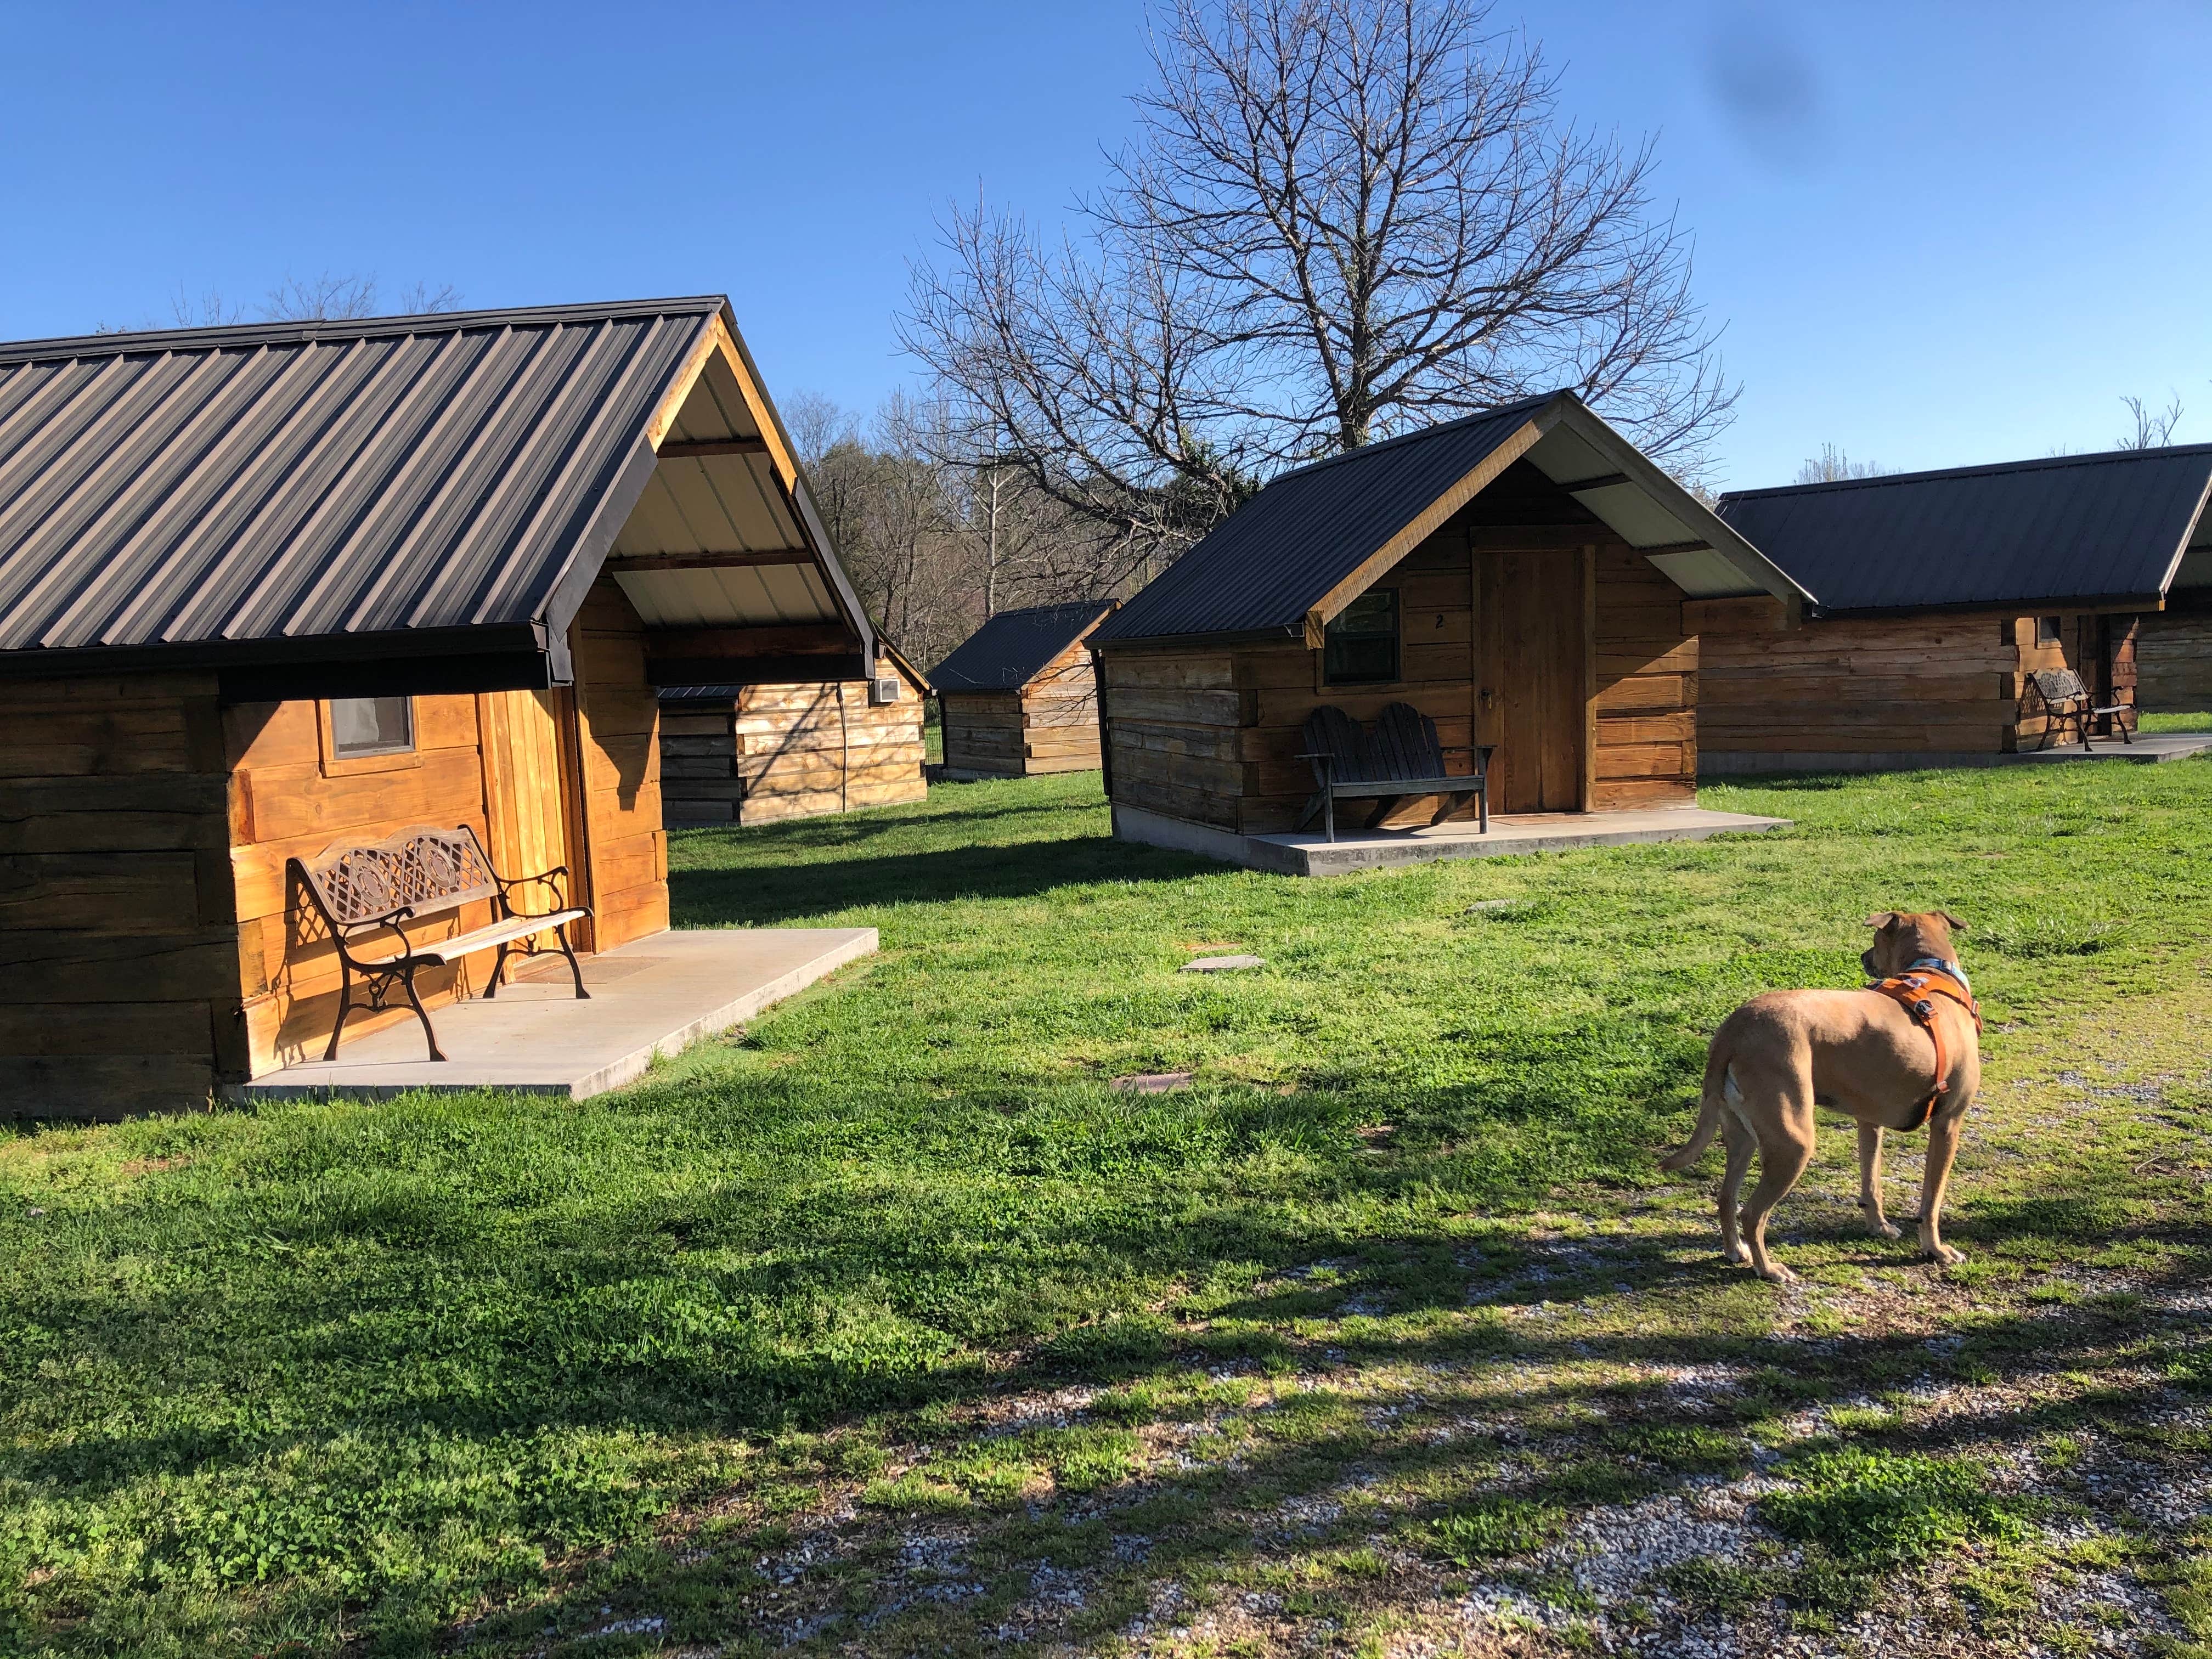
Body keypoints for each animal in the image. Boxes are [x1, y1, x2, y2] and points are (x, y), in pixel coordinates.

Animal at [1663, 911, 1982, 1283]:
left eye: (1874, 943)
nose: (1863, 956)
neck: (1931, 970)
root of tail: (1736, 1027)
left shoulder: (1869, 1122)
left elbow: (1871, 1182)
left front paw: (1879, 1227)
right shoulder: (1947, 1124)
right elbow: (1931, 1200)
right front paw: (1936, 1249)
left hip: (1743, 1135)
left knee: (1727, 1196)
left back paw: (1735, 1251)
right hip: (1794, 1142)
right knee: (1753, 1213)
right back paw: (1768, 1268)